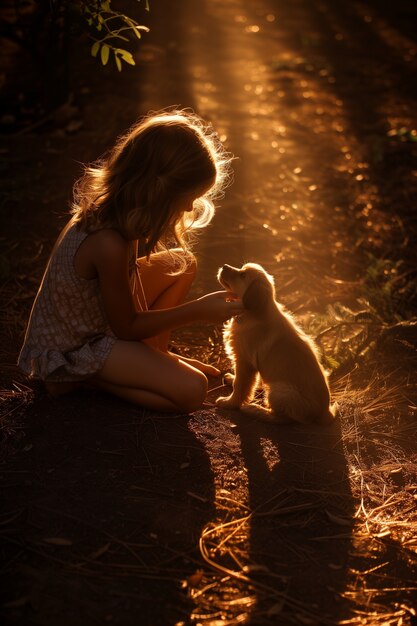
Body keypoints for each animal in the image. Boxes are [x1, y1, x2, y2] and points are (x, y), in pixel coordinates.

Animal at [214, 260, 334, 422]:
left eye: (243, 275)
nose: (225, 266)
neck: (254, 314)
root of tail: (325, 412)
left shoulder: (245, 361)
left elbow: (241, 385)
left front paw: (229, 403)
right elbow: (241, 382)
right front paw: (232, 380)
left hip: (281, 390)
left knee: (282, 418)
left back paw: (254, 410)